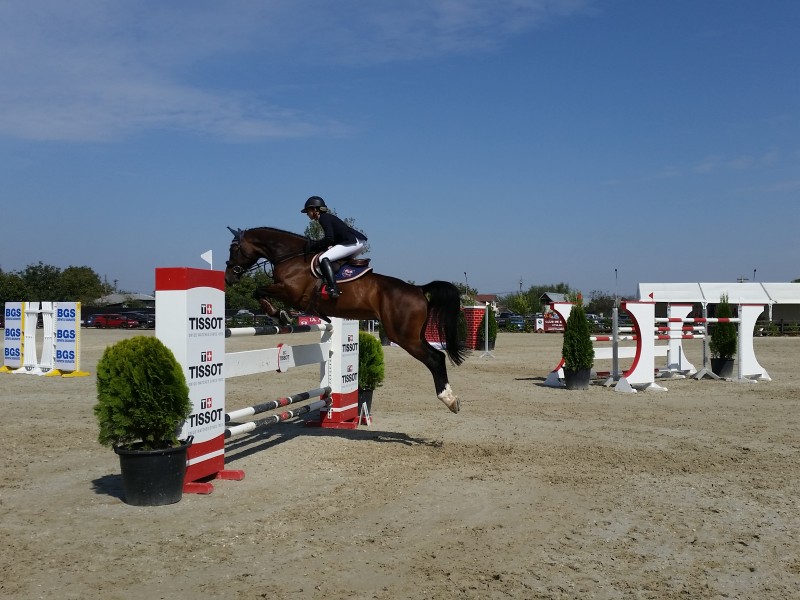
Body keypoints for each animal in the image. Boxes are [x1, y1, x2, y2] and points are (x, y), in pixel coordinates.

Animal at [224, 227, 468, 413]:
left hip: (404, 336)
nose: (228, 278)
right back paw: (451, 399)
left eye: (234, 248)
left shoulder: (290, 291)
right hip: (414, 334)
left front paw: (278, 314)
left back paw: (449, 399)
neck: (290, 256)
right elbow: (260, 292)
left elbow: (258, 291)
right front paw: (280, 314)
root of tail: (418, 289)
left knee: (435, 358)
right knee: (438, 356)